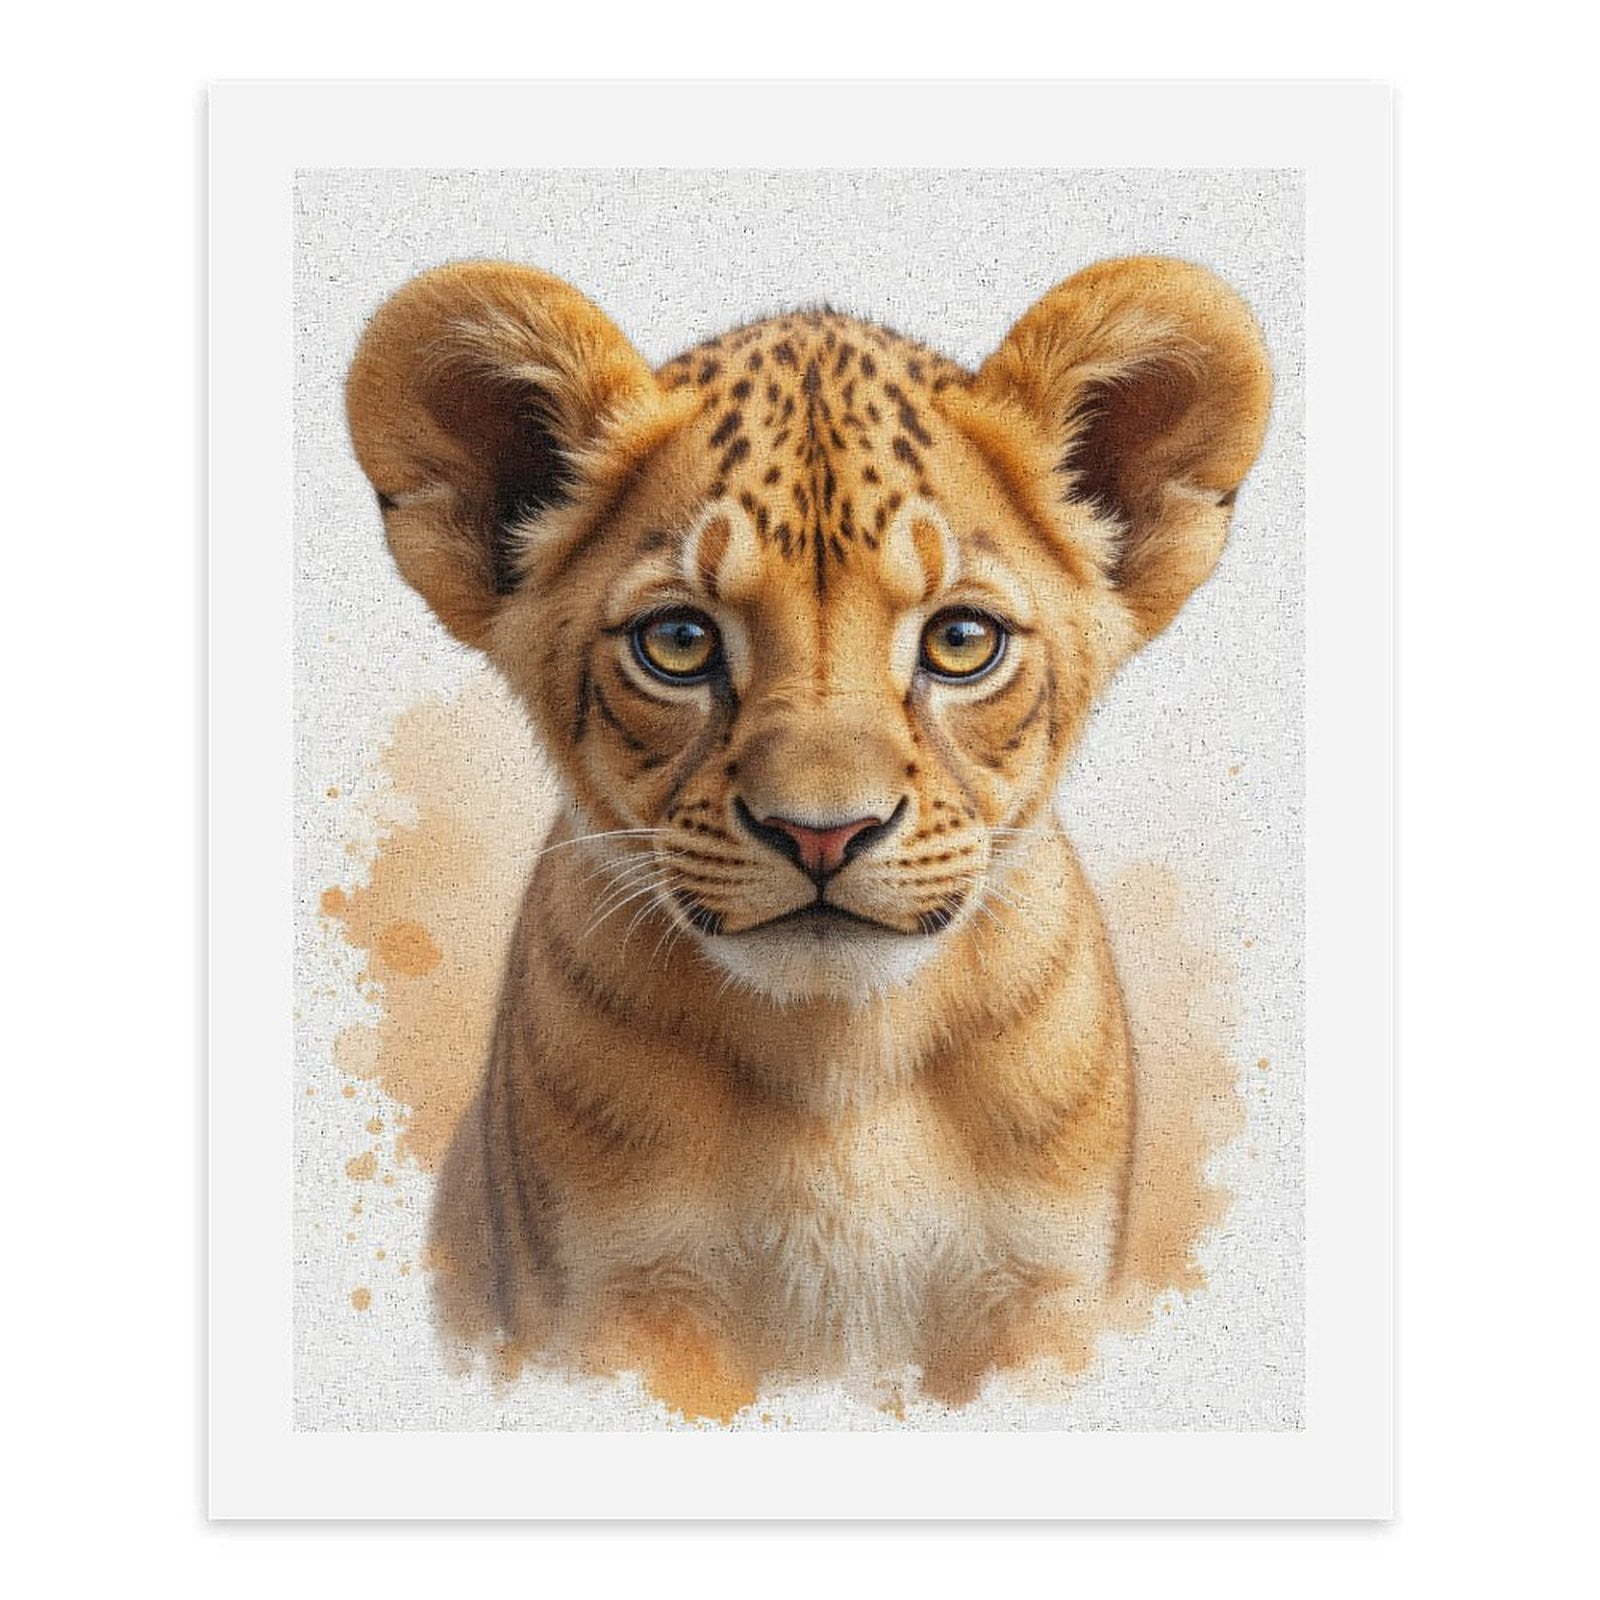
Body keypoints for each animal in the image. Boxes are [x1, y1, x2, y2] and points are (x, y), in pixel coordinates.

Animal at [344, 255, 1271, 1419]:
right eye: (678, 642)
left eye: (960, 641)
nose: (823, 834)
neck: (838, 1070)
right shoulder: (617, 1302)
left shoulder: (1039, 1297)